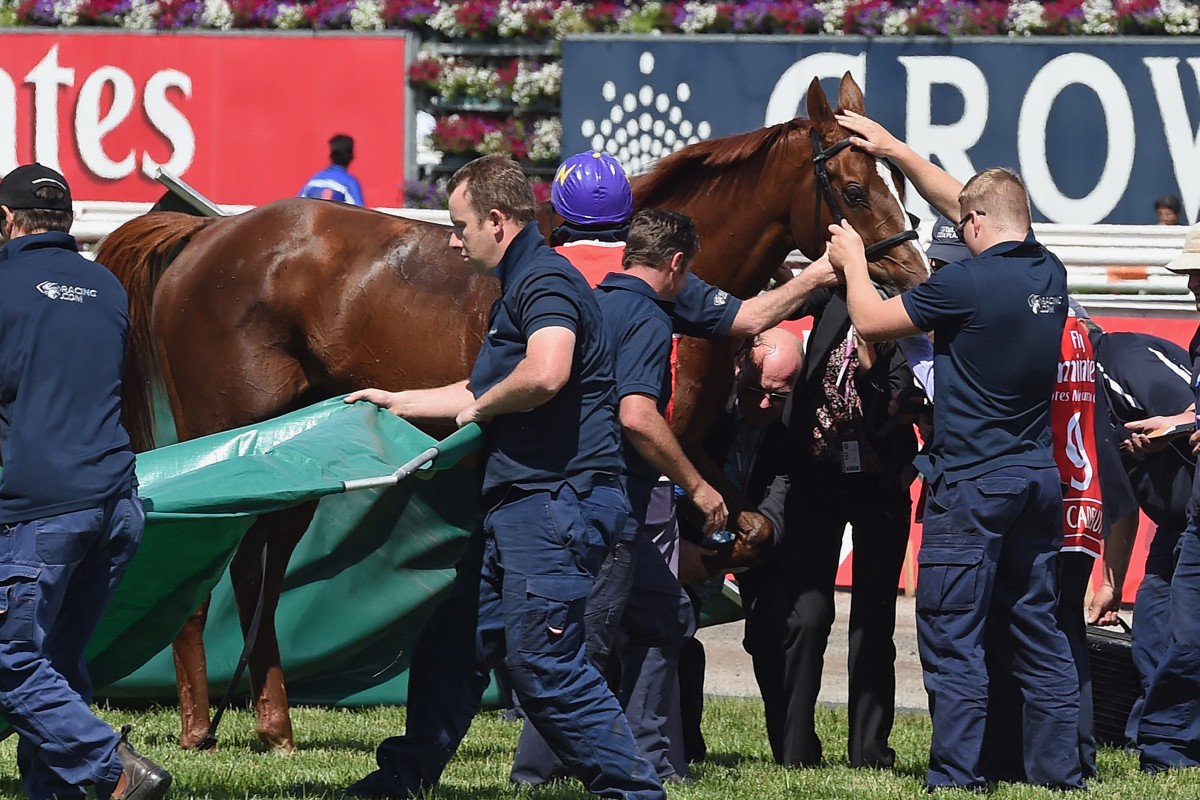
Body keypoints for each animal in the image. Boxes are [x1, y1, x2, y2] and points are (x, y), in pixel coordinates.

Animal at [96, 73, 926, 753]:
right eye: (854, 189)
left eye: (896, 174)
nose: (912, 270)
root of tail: (207, 232)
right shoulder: (645, 441)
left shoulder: (686, 446)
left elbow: (752, 529)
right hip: (222, 423)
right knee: (203, 554)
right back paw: (199, 721)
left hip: (296, 441)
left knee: (253, 568)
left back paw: (273, 723)